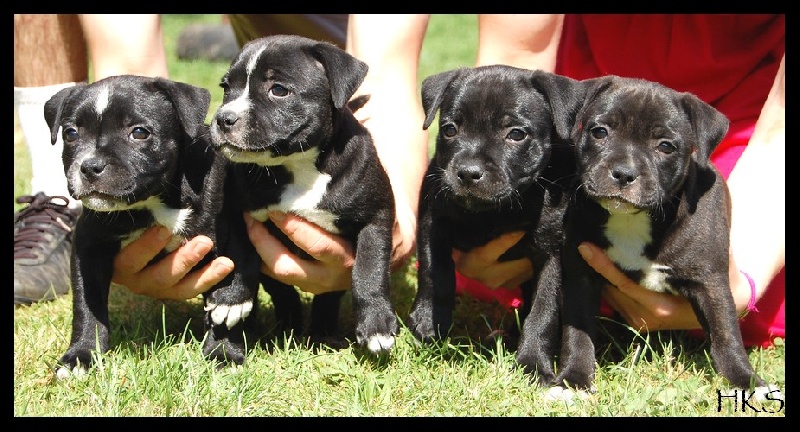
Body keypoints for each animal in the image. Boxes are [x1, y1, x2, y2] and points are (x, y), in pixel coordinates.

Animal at [43, 74, 250, 374]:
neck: (151, 203)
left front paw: (224, 350)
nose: (90, 166)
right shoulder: (88, 247)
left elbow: (231, 272)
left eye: (139, 132)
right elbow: (87, 305)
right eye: (71, 134)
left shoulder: (226, 228)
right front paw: (81, 355)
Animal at [211, 35, 398, 354]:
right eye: (226, 88)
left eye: (278, 90)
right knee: (282, 292)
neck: (296, 165)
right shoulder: (234, 211)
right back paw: (289, 326)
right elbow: (240, 250)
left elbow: (369, 267)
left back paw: (323, 332)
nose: (224, 118)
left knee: (327, 296)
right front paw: (233, 298)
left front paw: (376, 324)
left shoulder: (376, 217)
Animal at [406, 65, 580, 384]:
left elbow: (543, 311)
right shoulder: (433, 218)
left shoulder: (552, 254)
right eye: (449, 130)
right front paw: (427, 319)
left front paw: (533, 364)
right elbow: (435, 269)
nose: (467, 172)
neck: (493, 212)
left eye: (516, 134)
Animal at [552, 76, 780, 400]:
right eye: (600, 132)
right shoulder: (580, 275)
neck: (631, 220)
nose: (624, 173)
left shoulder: (711, 283)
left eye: (665, 147)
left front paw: (747, 383)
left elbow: (726, 336)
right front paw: (573, 380)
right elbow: (578, 332)